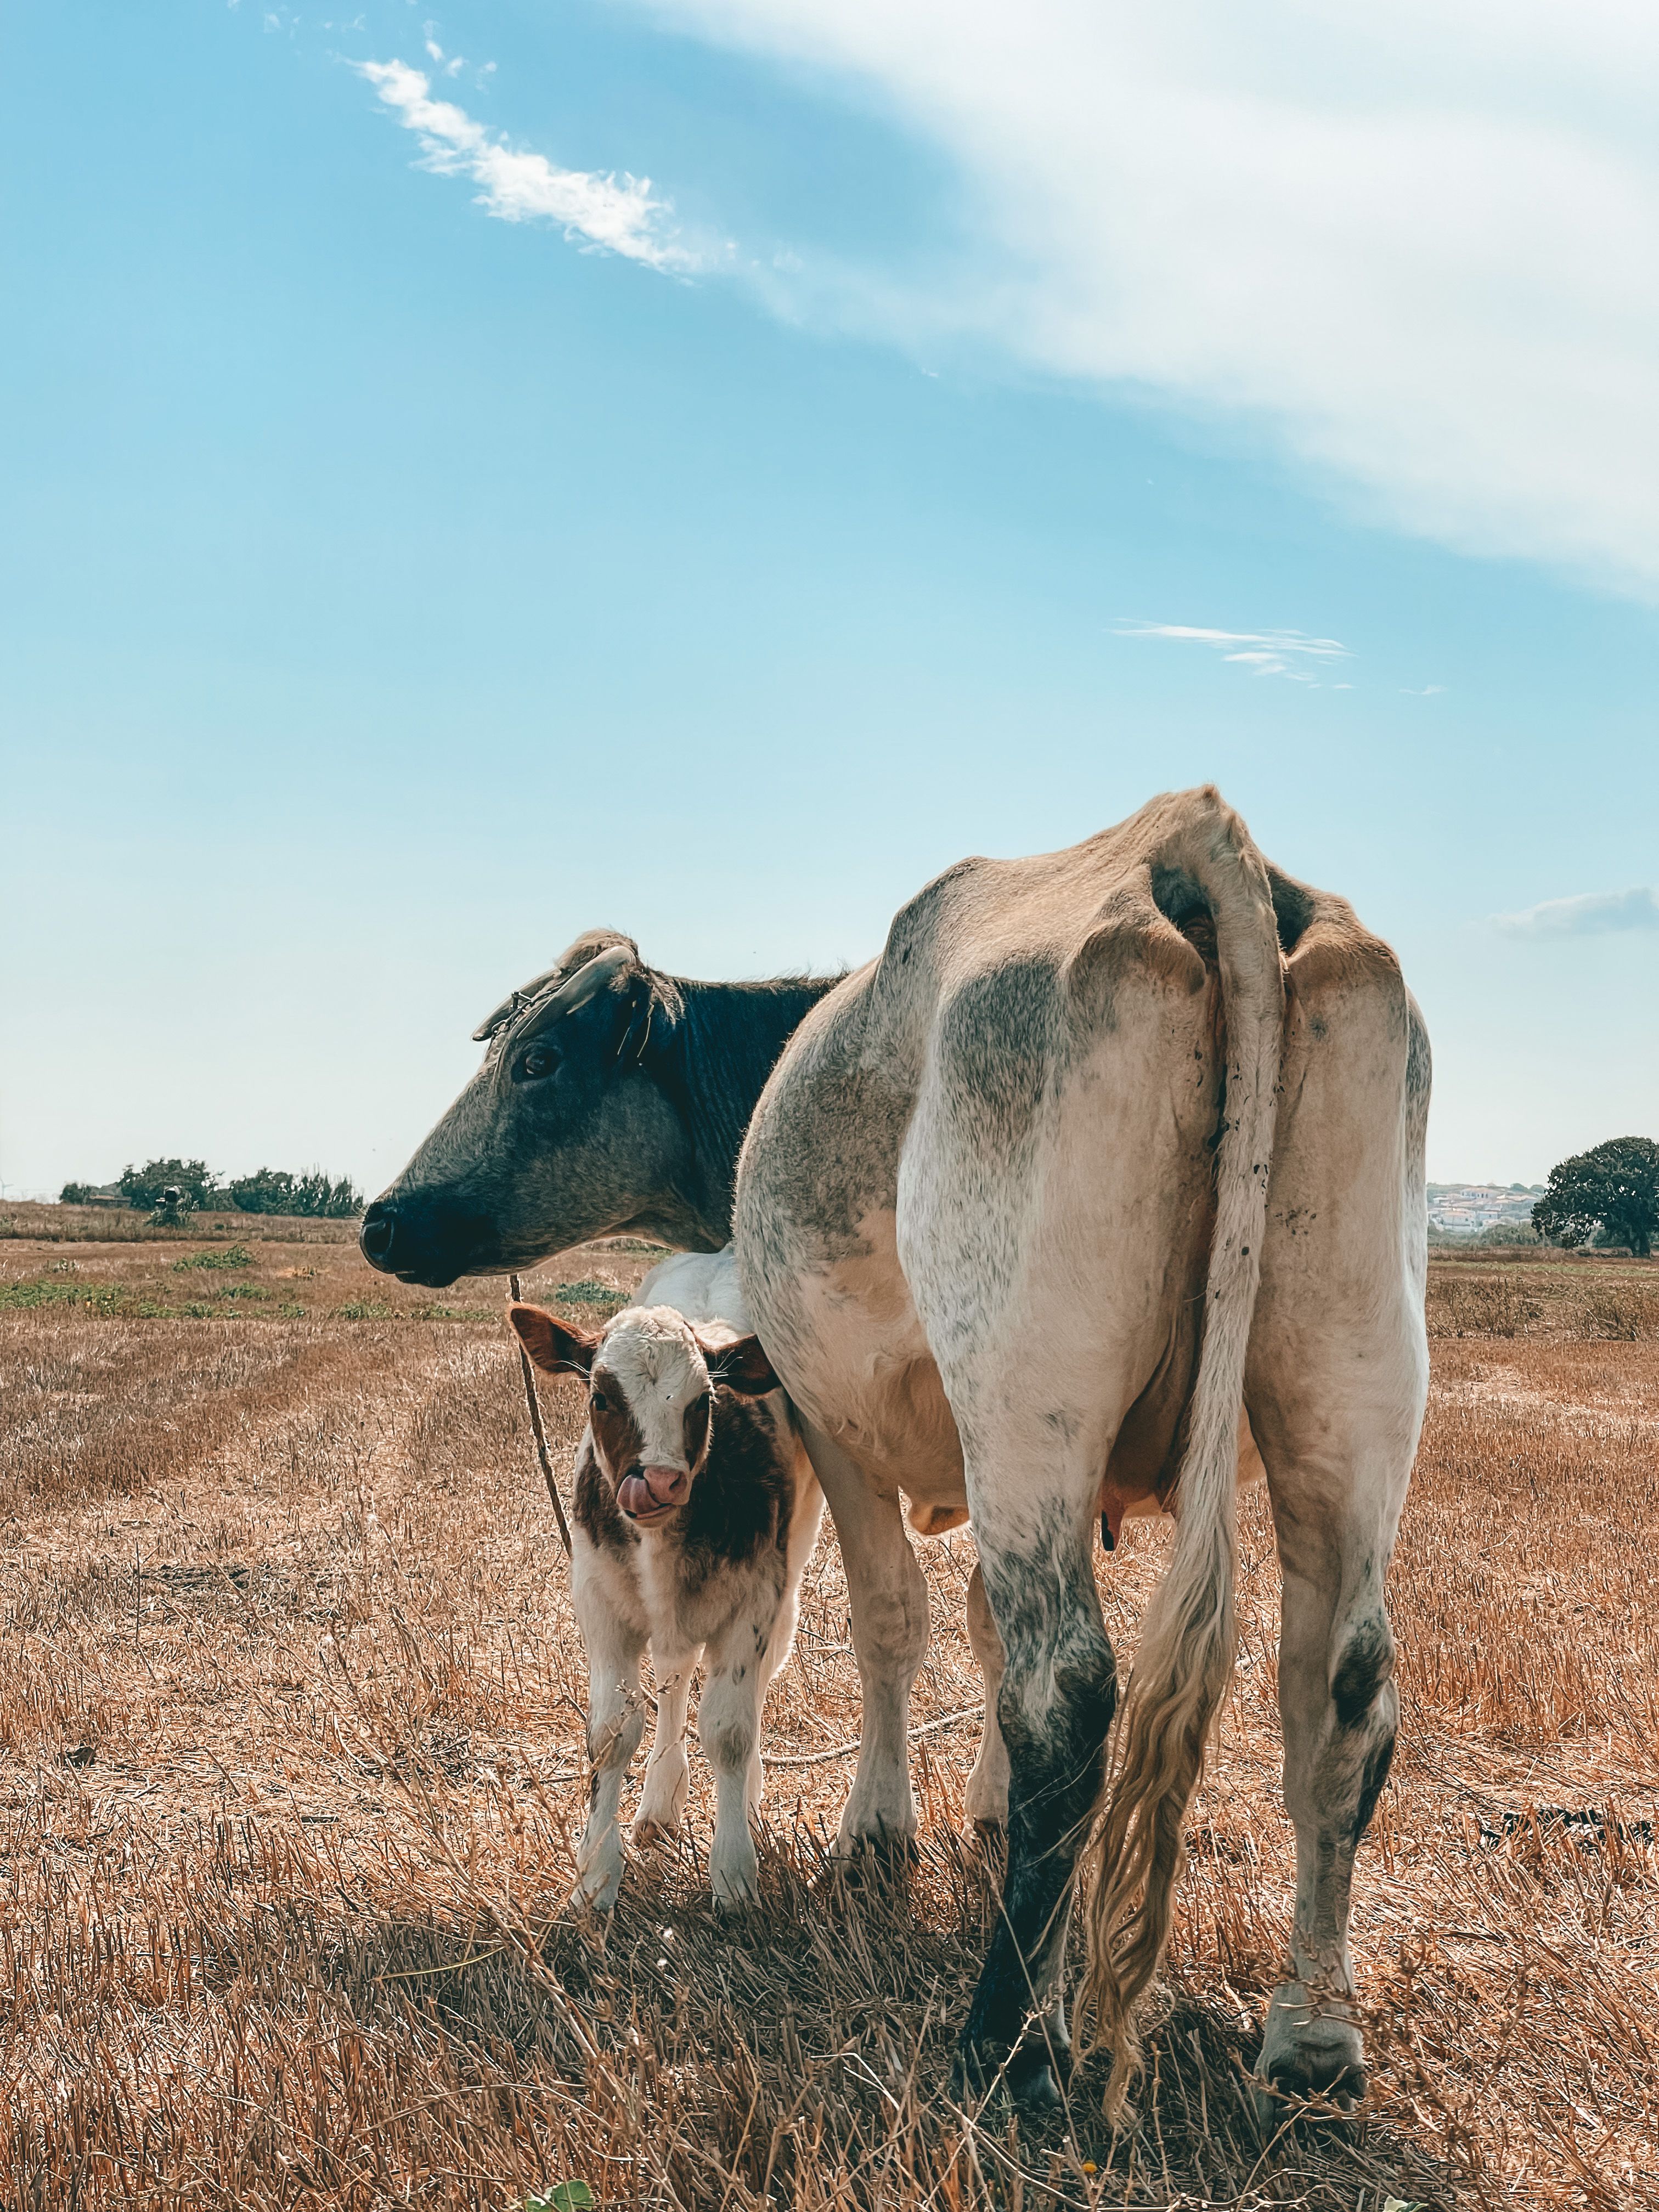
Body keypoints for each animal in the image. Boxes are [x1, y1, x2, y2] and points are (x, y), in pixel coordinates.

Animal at [507, 1251, 822, 1909]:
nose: (656, 1482)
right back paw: (659, 1800)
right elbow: (613, 1732)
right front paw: (596, 1875)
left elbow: (730, 1730)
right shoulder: (599, 1602)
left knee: (754, 1684)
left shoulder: (756, 1600)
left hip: (790, 1577)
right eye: (602, 1397)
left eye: (703, 1401)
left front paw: (734, 1871)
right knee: (675, 1678)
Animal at [732, 786, 1429, 2116]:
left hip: (1026, 1405)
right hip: (1348, 1389)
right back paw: (1312, 2034)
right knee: (1343, 1694)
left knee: (1070, 1693)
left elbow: (893, 1621)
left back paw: (1008, 2045)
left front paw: (877, 1834)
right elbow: (975, 1632)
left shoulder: (830, 1423)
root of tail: (1181, 836)